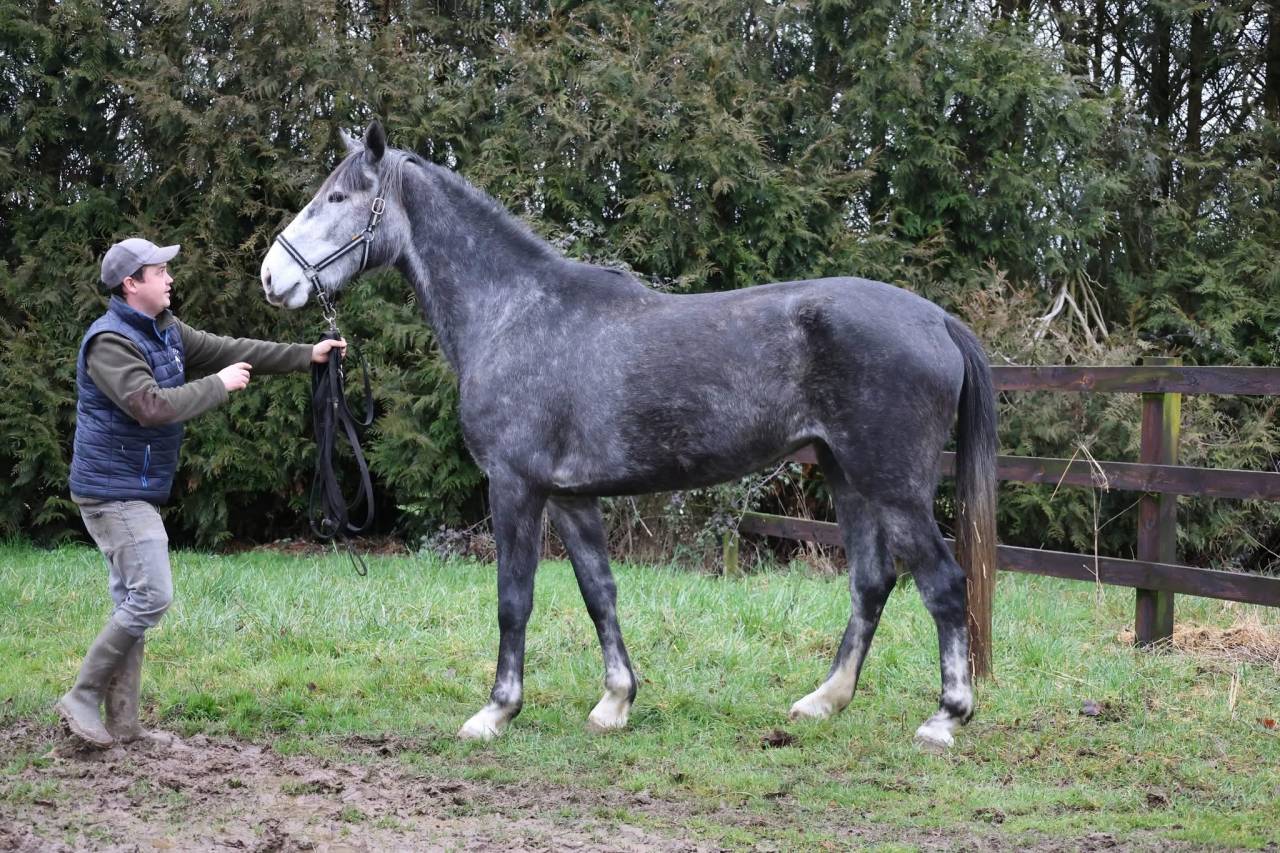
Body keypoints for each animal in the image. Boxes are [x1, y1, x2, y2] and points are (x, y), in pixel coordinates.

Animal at [260, 120, 997, 749]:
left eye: (338, 197)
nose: (273, 275)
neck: (514, 313)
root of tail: (936, 320)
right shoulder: (571, 495)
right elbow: (599, 592)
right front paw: (615, 701)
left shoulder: (515, 486)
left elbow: (513, 598)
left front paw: (496, 711)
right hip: (849, 477)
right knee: (872, 581)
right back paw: (823, 700)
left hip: (892, 485)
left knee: (942, 581)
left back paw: (945, 717)